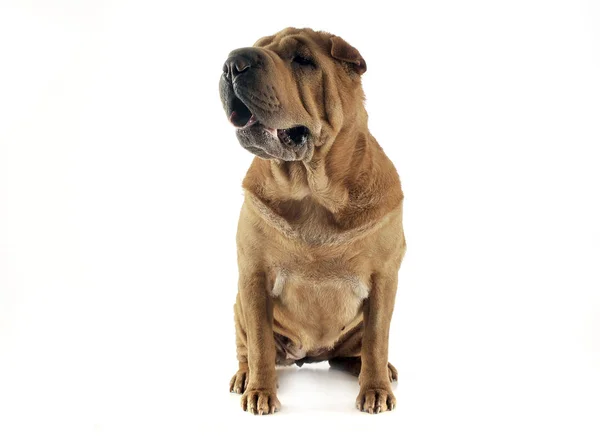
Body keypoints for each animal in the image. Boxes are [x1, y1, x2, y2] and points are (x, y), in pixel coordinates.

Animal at [218, 25, 406, 414]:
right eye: (258, 48)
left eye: (302, 60)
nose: (233, 64)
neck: (311, 189)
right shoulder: (253, 277)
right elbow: (259, 344)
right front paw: (260, 392)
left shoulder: (384, 279)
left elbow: (377, 341)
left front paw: (375, 389)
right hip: (238, 305)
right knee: (247, 348)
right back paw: (244, 377)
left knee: (360, 352)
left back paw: (378, 371)